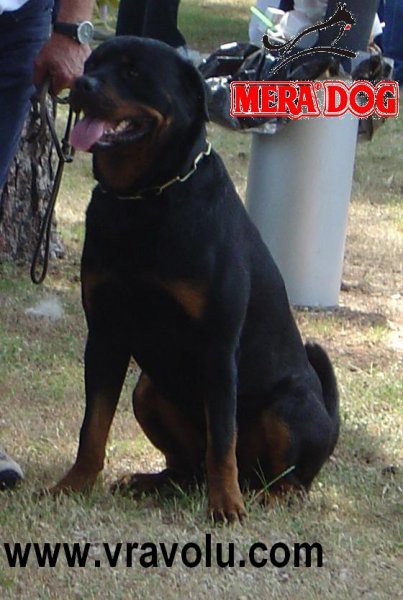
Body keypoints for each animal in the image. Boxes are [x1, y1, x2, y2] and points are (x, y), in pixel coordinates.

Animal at [51, 36, 339, 523]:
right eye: (91, 64)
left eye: (133, 71)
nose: (82, 84)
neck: (144, 197)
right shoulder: (105, 335)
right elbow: (93, 423)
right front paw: (75, 484)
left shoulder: (217, 346)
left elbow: (222, 438)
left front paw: (225, 507)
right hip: (148, 389)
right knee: (187, 464)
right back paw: (154, 482)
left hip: (289, 407)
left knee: (288, 478)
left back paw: (264, 495)